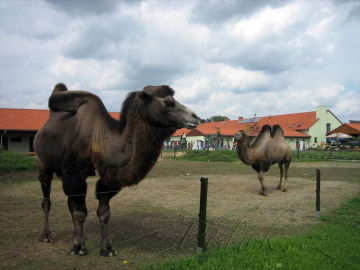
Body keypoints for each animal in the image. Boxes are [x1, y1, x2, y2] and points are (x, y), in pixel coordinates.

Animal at [33, 83, 200, 256]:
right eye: (168, 101)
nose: (195, 117)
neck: (99, 139)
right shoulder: (73, 172)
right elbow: (80, 213)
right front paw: (78, 248)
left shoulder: (110, 176)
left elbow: (104, 212)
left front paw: (107, 248)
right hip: (42, 163)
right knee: (47, 200)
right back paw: (46, 236)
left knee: (69, 203)